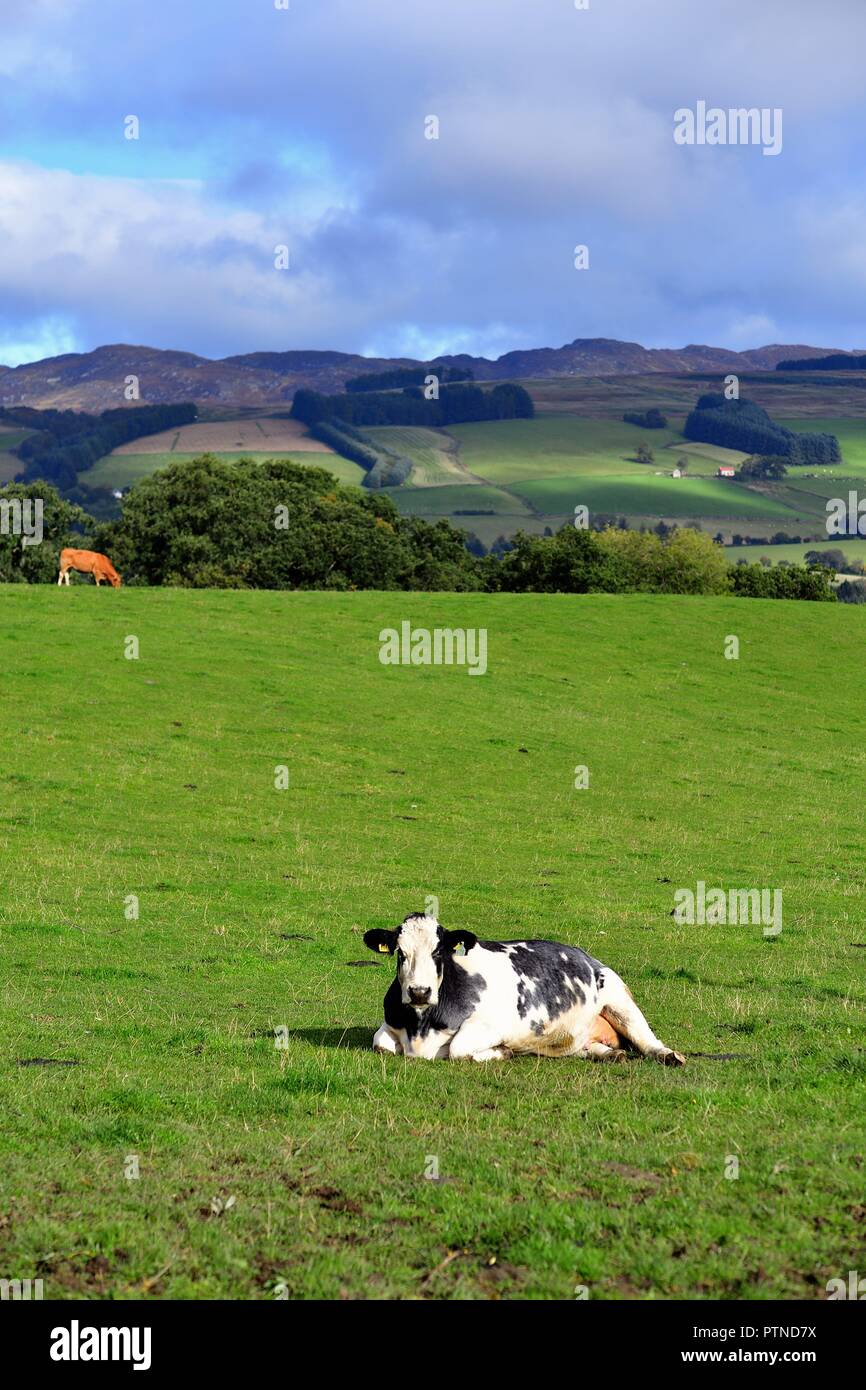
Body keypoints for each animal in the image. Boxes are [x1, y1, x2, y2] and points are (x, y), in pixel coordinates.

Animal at [364, 911, 683, 1061]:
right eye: (401, 953)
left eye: (438, 951)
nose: (419, 992)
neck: (421, 1027)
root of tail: (585, 954)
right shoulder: (389, 1025)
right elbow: (380, 1044)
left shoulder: (491, 1024)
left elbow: (457, 1048)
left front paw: (501, 1052)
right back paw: (610, 1055)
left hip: (619, 997)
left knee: (646, 1040)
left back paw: (669, 1056)